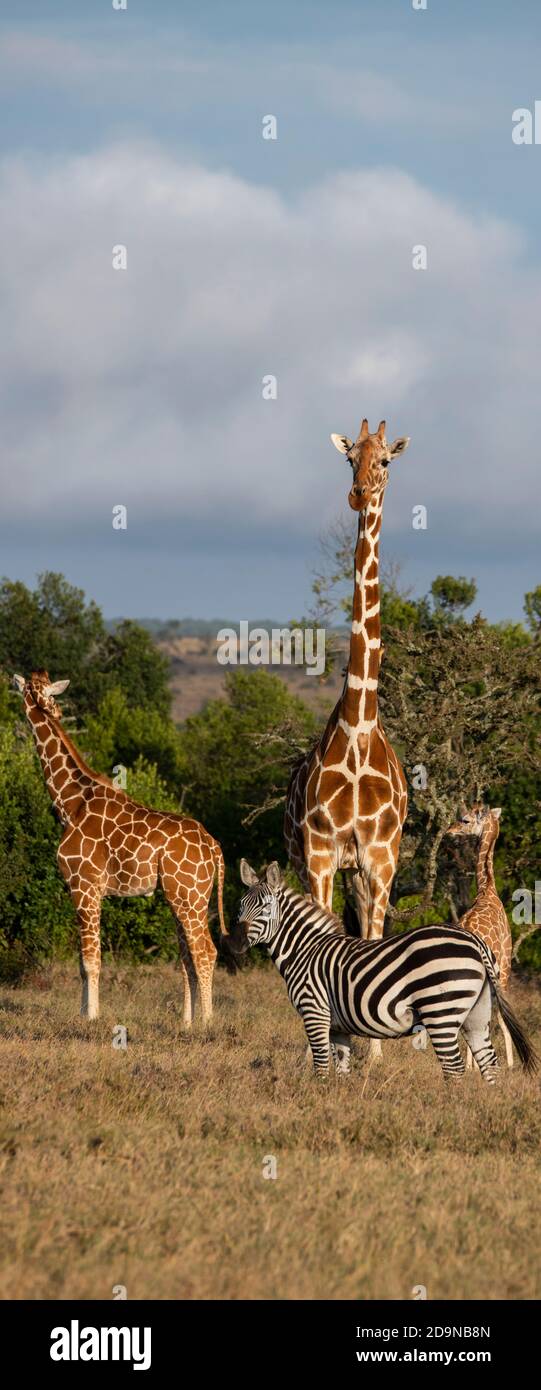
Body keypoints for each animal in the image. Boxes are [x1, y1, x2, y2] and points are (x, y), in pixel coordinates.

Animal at [13, 670, 226, 1025]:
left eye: (45, 691)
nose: (51, 709)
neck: (70, 802)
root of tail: (215, 846)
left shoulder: (84, 886)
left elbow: (90, 961)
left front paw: (91, 1017)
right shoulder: (84, 891)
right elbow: (81, 962)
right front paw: (84, 1012)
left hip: (190, 897)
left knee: (205, 952)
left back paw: (208, 1023)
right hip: (182, 897)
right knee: (187, 958)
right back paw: (187, 1023)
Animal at [447, 803, 514, 1068]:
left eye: (465, 820)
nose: (449, 831)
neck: (487, 889)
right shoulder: (505, 963)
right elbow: (503, 1016)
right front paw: (511, 1064)